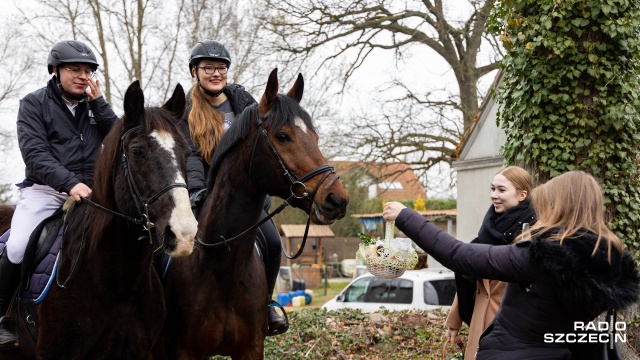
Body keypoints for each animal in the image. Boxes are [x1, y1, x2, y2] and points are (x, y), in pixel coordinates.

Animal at [155, 69, 350, 358]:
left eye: (315, 137)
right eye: (283, 136)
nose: (336, 199)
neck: (222, 261)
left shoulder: (251, 348)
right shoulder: (186, 352)